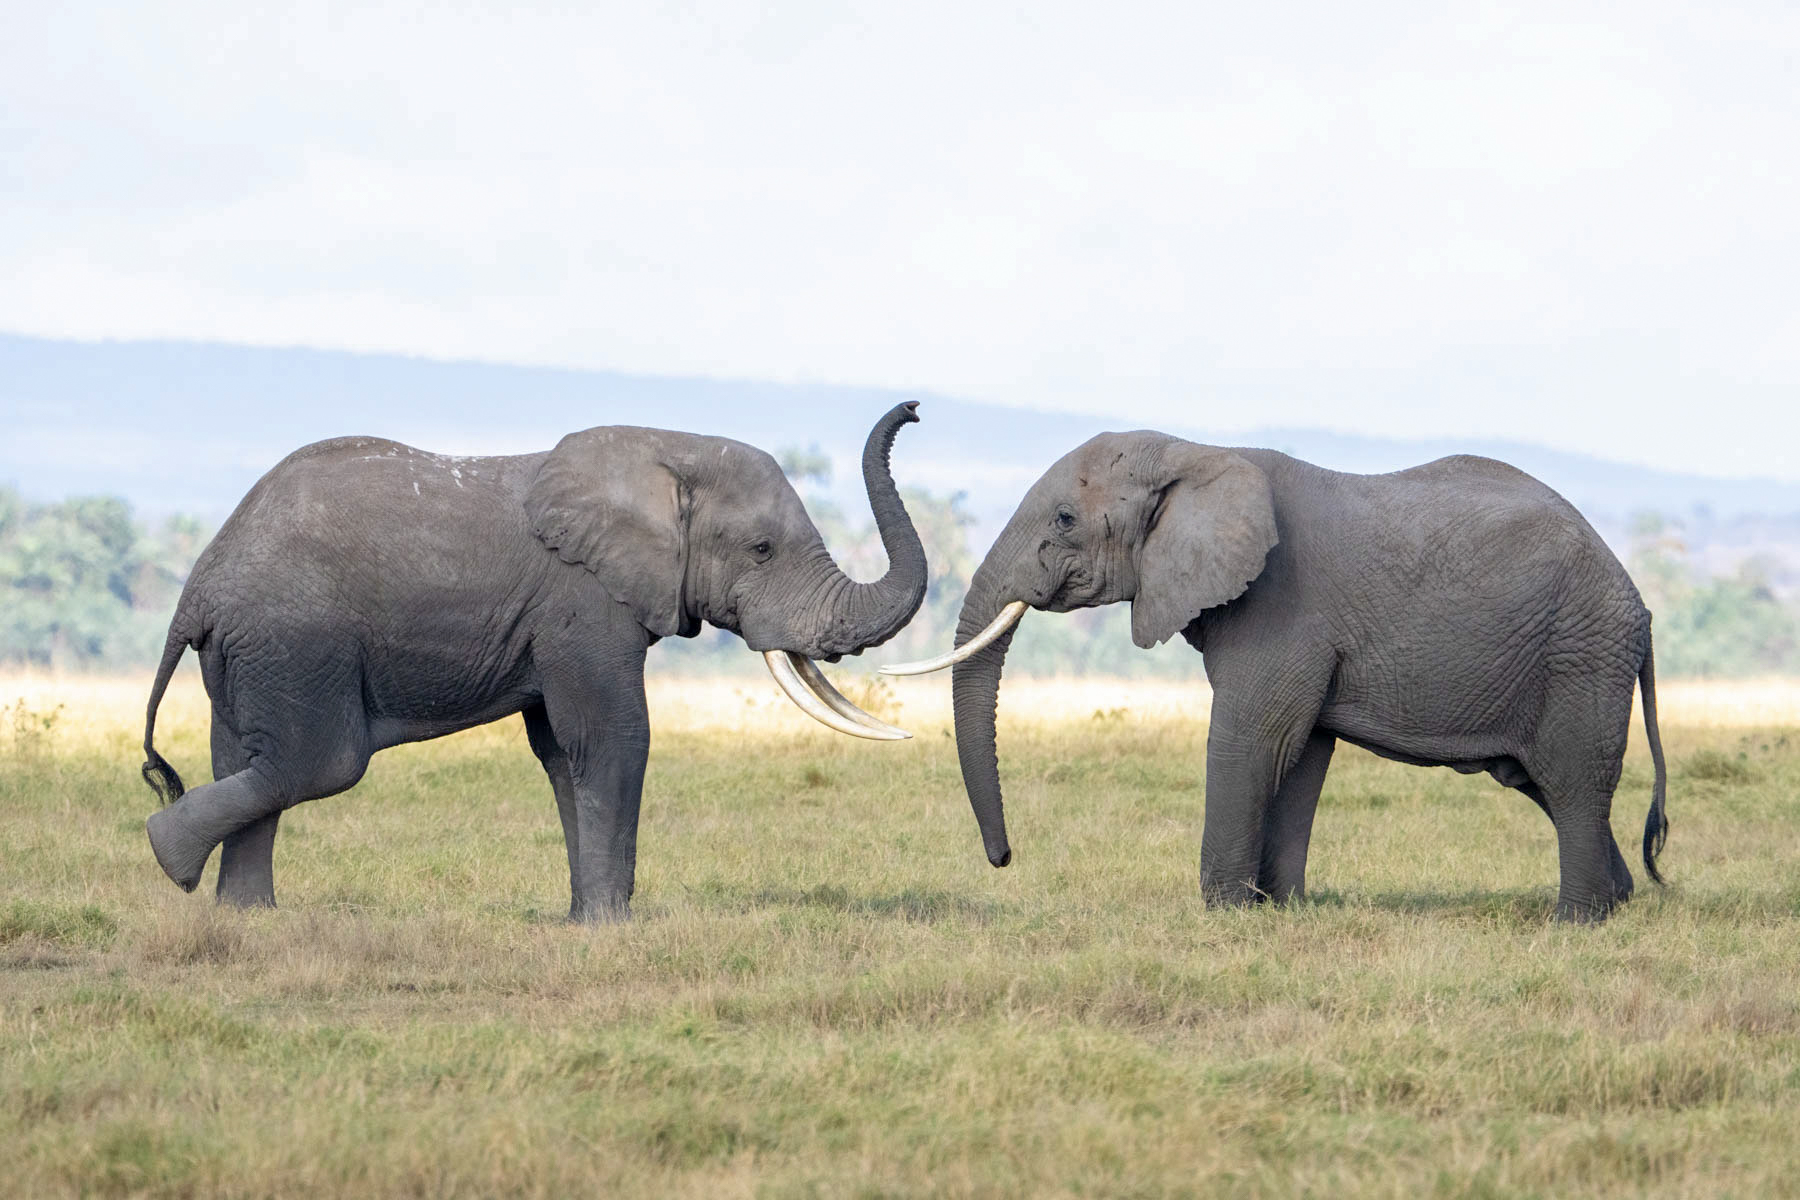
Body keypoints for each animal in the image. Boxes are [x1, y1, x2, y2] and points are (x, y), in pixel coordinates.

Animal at [141, 403, 929, 921]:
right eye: (761, 549)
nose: (914, 410)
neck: (663, 447)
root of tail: (197, 587)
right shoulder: (583, 603)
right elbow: (612, 737)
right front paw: (611, 927)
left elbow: (561, 751)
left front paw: (584, 922)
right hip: (296, 643)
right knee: (317, 763)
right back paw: (169, 855)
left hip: (251, 655)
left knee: (243, 756)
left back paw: (244, 917)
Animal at [885, 432, 1670, 923]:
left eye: (1065, 518)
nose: (1003, 859)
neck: (1196, 451)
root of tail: (1639, 603)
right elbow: (1302, 754)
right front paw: (1281, 909)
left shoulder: (1280, 605)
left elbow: (1252, 739)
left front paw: (1224, 913)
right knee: (1543, 782)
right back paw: (1621, 902)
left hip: (1579, 654)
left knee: (1572, 779)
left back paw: (1575, 923)